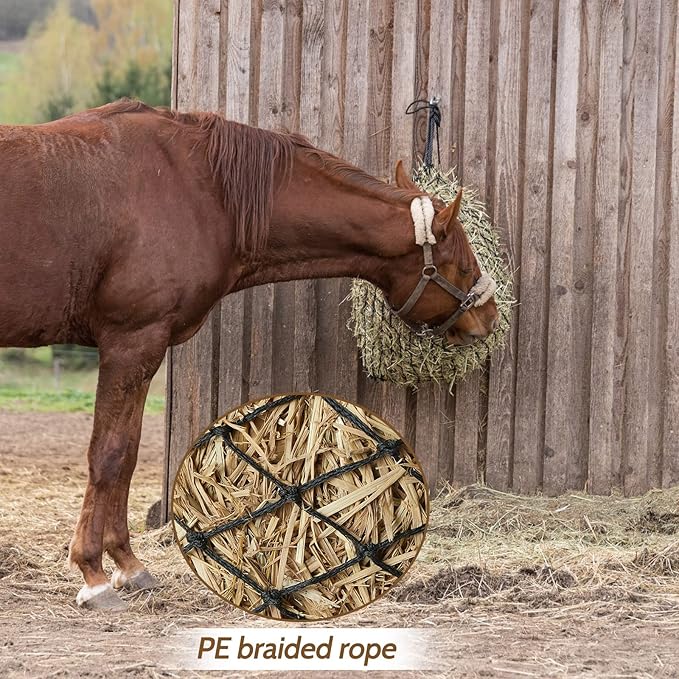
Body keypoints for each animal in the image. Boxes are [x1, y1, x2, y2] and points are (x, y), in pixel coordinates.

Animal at [0, 99, 498, 610]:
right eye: (461, 265)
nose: (489, 318)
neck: (199, 190)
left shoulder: (141, 350)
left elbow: (129, 453)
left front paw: (129, 566)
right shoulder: (131, 342)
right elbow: (109, 455)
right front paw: (93, 575)